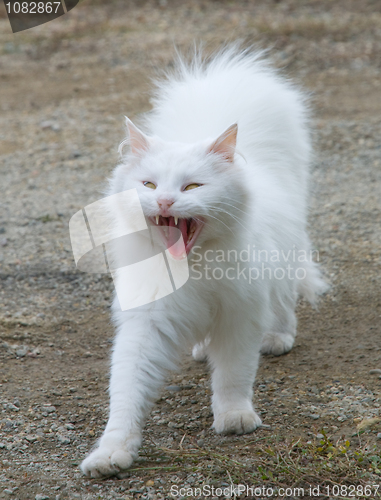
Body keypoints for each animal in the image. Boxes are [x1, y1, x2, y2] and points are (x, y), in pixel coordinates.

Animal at [79, 47, 324, 476]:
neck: (190, 268)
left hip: (283, 261)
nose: (164, 201)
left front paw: (234, 418)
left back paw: (278, 338)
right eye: (149, 185)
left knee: (284, 302)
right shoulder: (145, 324)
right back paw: (201, 349)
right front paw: (111, 454)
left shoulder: (240, 316)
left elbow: (233, 376)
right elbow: (125, 393)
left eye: (192, 186)